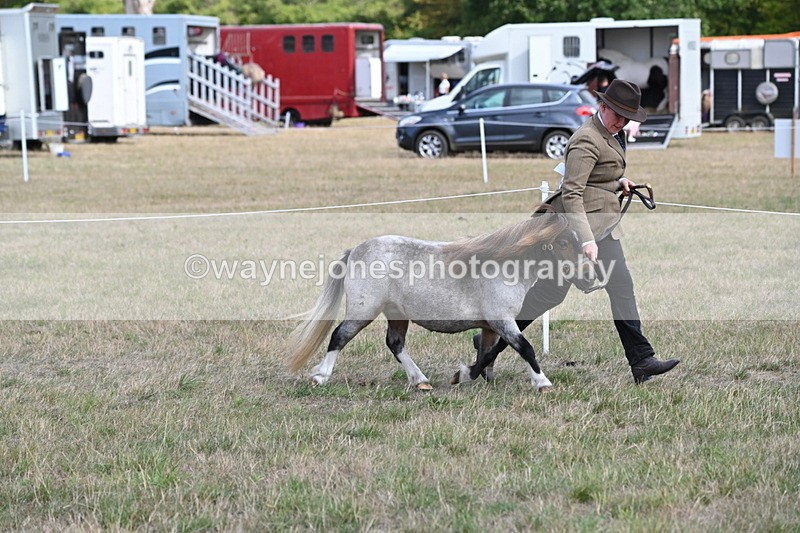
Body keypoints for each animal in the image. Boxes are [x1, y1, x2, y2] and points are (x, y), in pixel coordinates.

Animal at [286, 212, 605, 392]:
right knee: (339, 336)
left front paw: (465, 375)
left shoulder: (491, 326)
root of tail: (355, 251)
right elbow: (525, 348)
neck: (505, 266)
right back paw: (321, 377)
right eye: (563, 243)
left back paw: (421, 381)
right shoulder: (502, 320)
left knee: (395, 344)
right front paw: (542, 383)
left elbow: (489, 353)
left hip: (396, 313)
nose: (591, 276)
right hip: (364, 310)